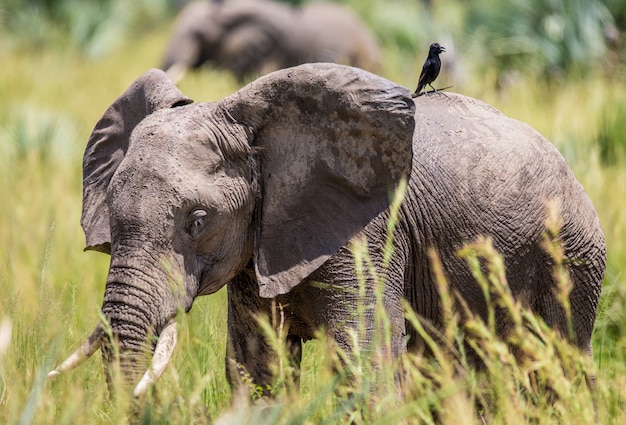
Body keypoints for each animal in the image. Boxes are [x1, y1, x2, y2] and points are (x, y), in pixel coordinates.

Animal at [48, 63, 604, 400]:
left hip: (572, 256)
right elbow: (257, 368)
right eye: (112, 212)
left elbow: (364, 358)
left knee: (554, 362)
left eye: (197, 222)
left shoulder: (366, 234)